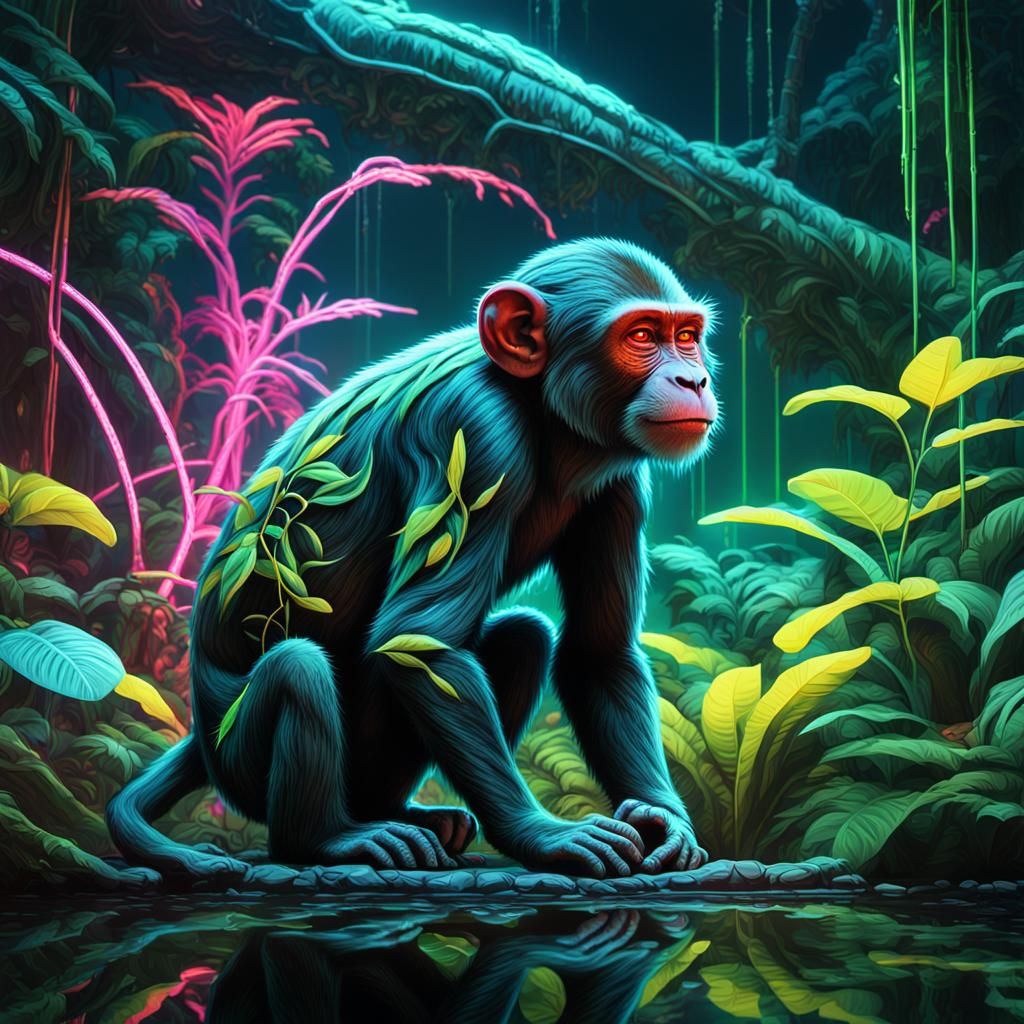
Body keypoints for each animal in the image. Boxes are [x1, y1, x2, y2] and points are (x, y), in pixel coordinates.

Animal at [107, 238, 718, 881]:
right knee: (297, 670)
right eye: (642, 335)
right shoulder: (473, 438)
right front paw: (545, 835)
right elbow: (421, 640)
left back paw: (404, 814)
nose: (693, 376)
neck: (539, 408)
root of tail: (200, 733)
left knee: (523, 638)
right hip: (238, 761)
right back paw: (327, 840)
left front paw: (661, 818)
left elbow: (598, 653)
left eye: (687, 335)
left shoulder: (622, 487)